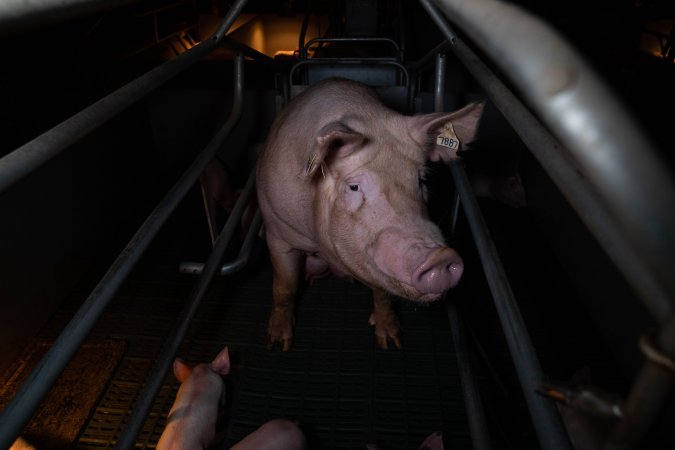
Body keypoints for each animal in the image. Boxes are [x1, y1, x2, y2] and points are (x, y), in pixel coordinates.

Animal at [256, 78, 484, 352]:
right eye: (354, 187)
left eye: (421, 180)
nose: (440, 257)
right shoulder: (277, 229)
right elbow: (285, 286)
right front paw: (278, 344)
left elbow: (382, 292)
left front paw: (390, 343)